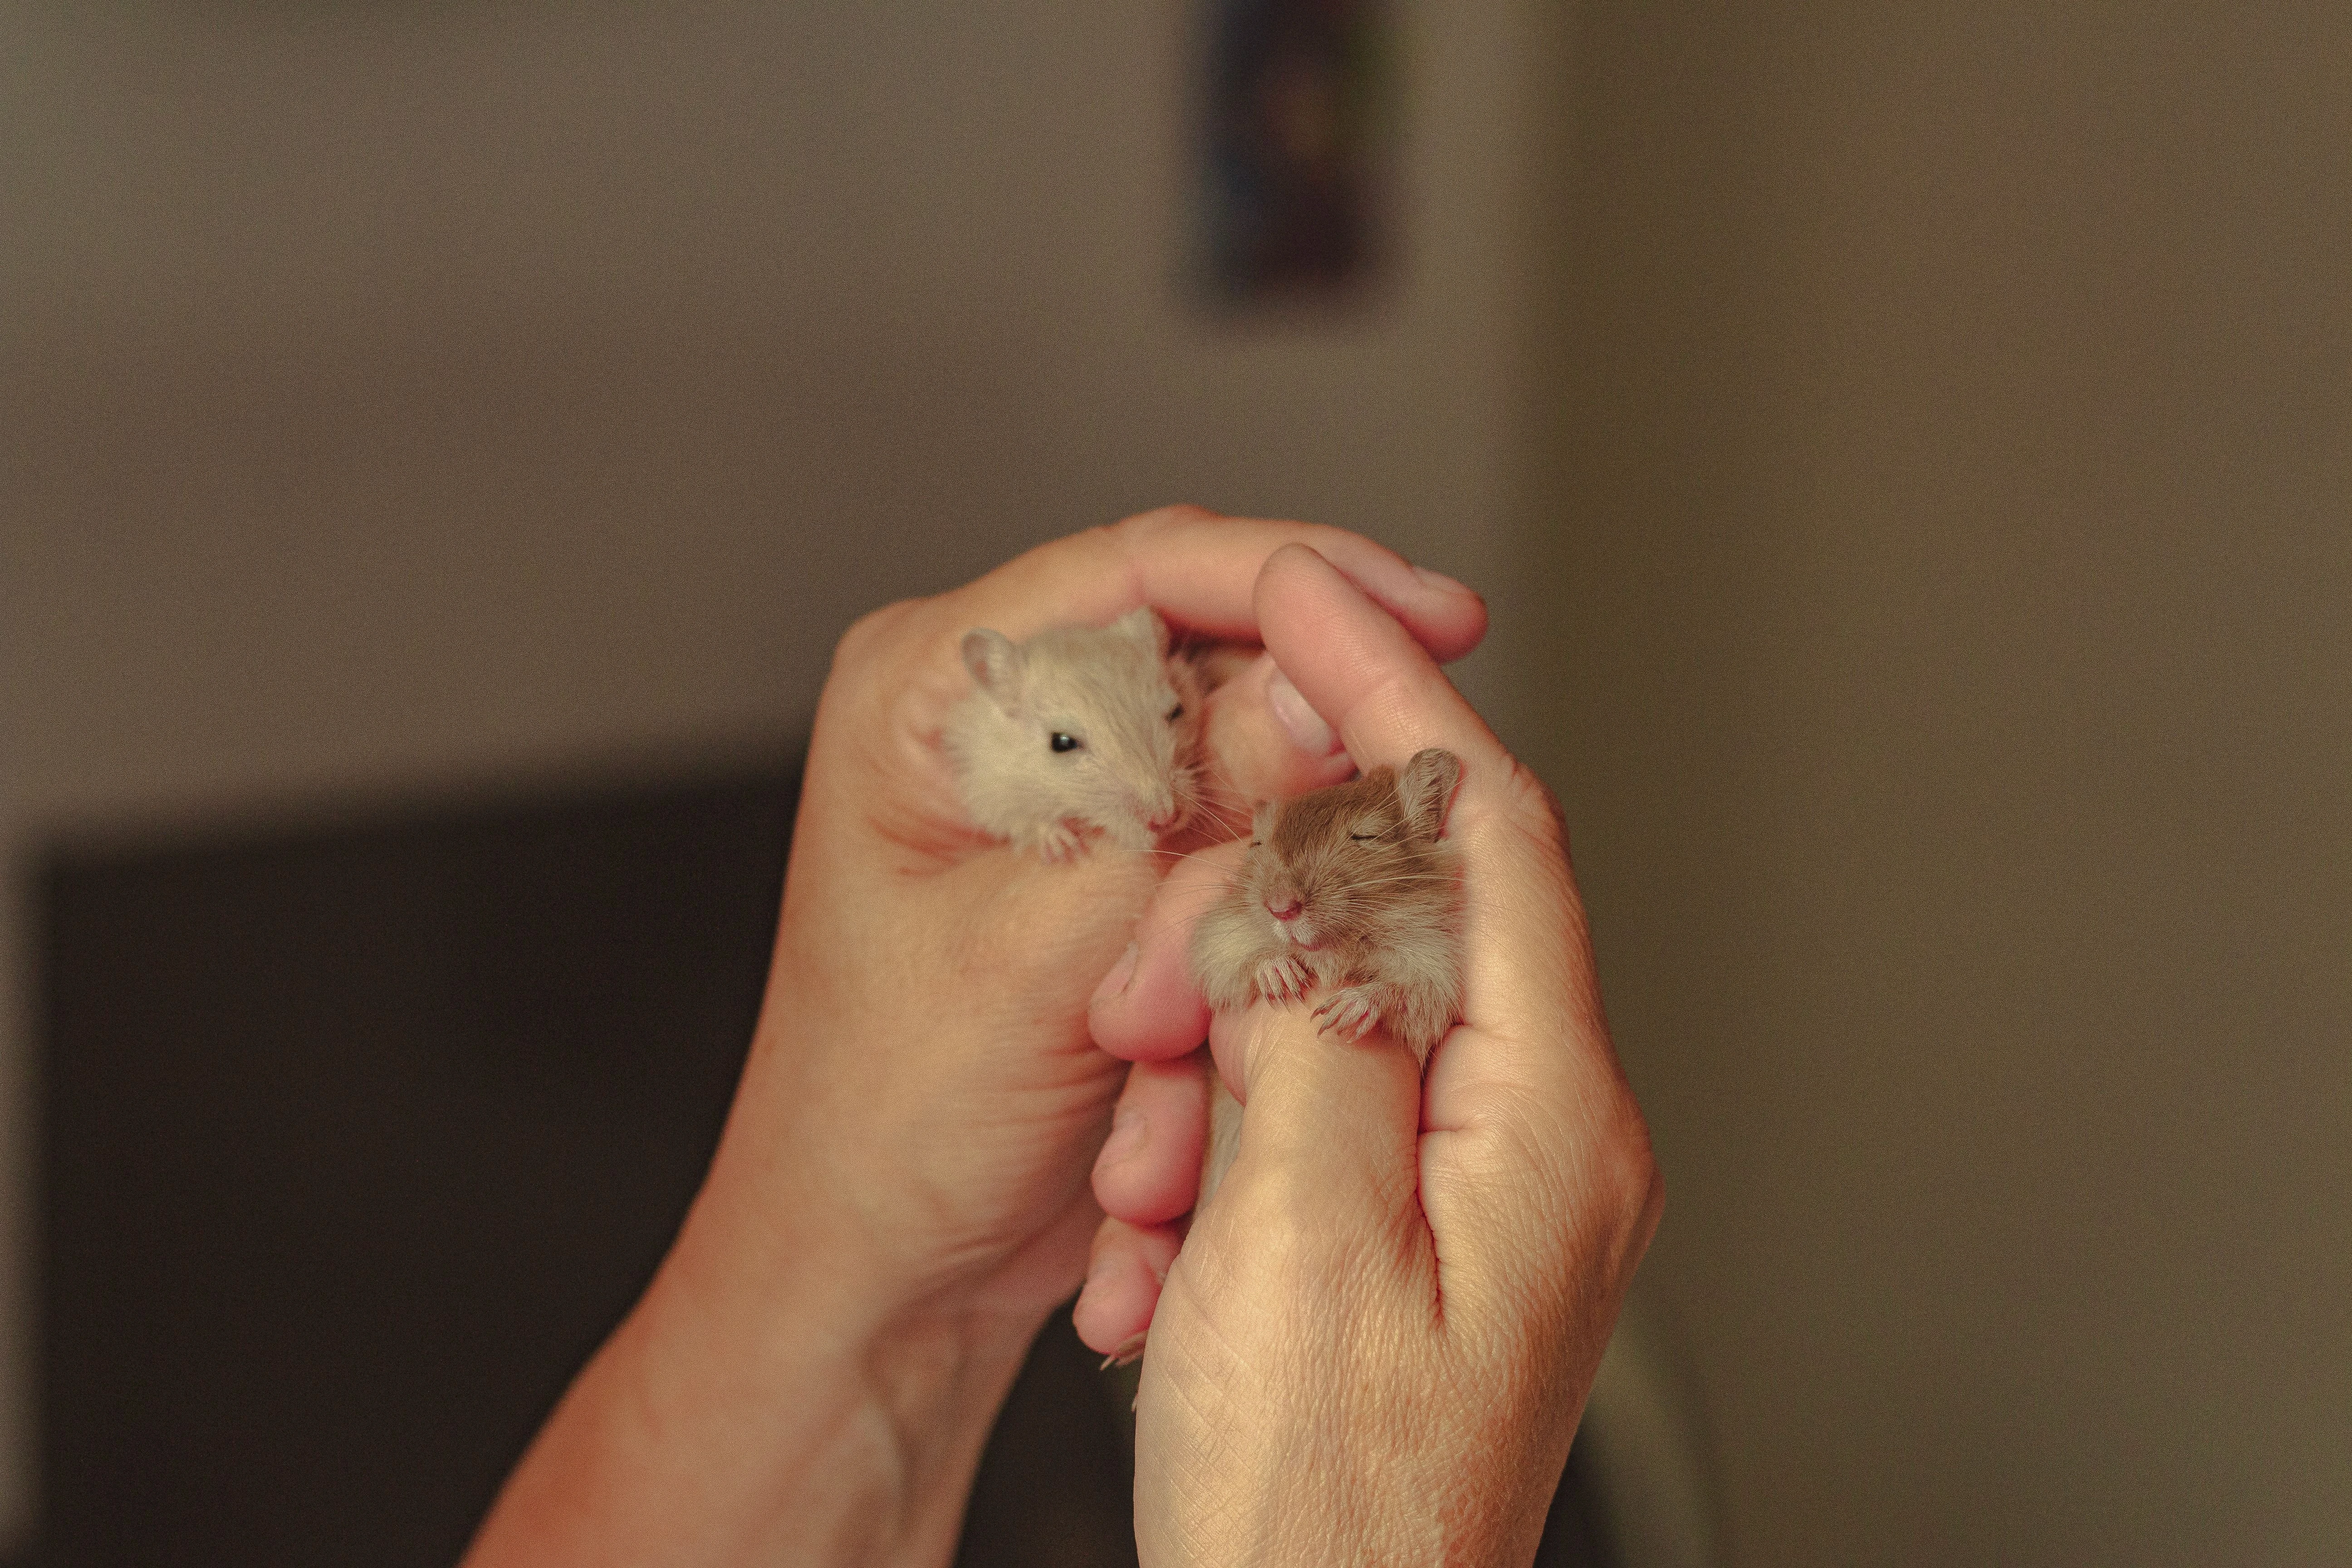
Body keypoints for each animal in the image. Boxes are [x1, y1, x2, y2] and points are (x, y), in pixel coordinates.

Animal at [944, 606, 1204, 860]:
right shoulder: (990, 789)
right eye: (1062, 743)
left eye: (1176, 711)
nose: (1166, 820)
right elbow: (1024, 820)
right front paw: (1063, 848)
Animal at [1189, 748, 1465, 1203]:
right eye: (1257, 845)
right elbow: (1245, 958)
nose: (1281, 908)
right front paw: (1283, 980)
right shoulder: (1220, 942)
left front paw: (1340, 1016)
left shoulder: (1435, 971)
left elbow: (1401, 991)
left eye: (1366, 837)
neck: (1333, 952)